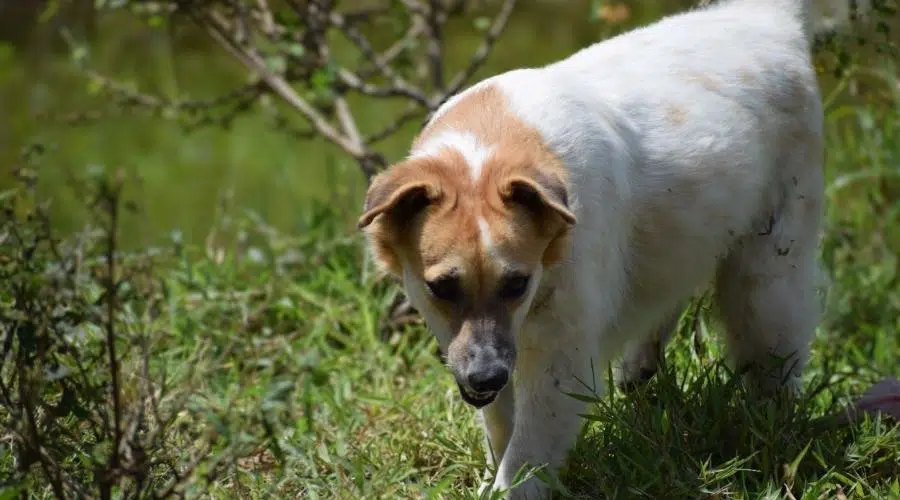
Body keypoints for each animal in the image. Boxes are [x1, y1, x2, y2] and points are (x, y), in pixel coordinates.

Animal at [356, 0, 844, 496]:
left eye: (518, 284)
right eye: (441, 288)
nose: (487, 376)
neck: (490, 145)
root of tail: (769, 17)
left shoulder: (562, 361)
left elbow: (524, 459)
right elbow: (501, 428)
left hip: (767, 281)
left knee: (774, 359)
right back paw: (641, 364)